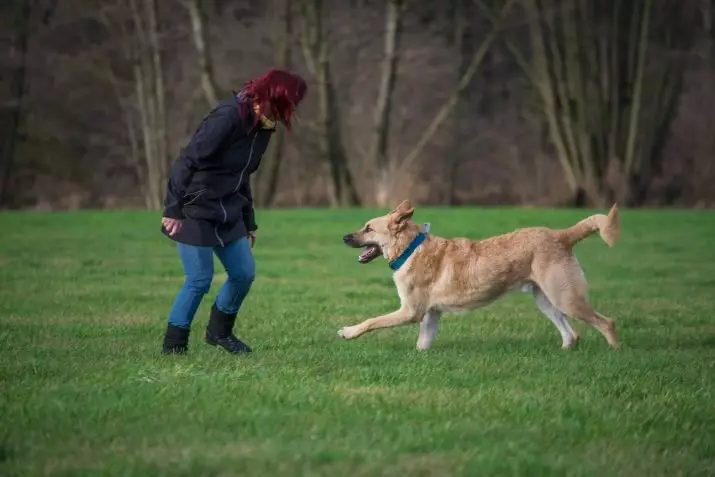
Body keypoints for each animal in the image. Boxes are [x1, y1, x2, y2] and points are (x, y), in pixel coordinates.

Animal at [340, 198, 620, 350]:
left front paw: (348, 332)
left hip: (566, 298)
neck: (410, 248)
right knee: (572, 334)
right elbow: (423, 344)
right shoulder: (431, 315)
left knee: (607, 323)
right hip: (546, 300)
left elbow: (371, 321)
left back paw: (615, 353)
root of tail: (562, 235)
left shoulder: (411, 311)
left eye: (368, 228)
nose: (344, 237)